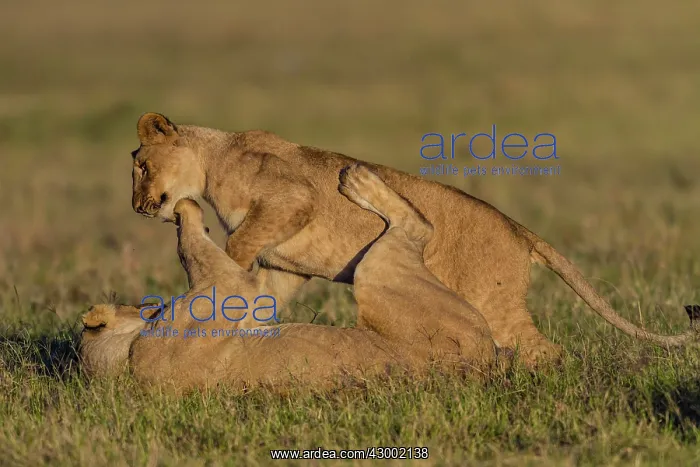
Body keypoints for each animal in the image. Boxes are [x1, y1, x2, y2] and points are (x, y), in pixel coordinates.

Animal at [81, 165, 498, 393]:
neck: (128, 357)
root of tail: (483, 362)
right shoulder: (222, 289)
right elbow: (191, 250)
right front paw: (185, 207)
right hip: (382, 275)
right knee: (418, 226)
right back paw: (357, 180)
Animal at [129, 112, 698, 365]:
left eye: (141, 166)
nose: (136, 207)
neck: (212, 162)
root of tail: (519, 228)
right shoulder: (285, 264)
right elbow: (263, 287)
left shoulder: (291, 200)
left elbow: (237, 248)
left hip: (493, 303)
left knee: (546, 349)